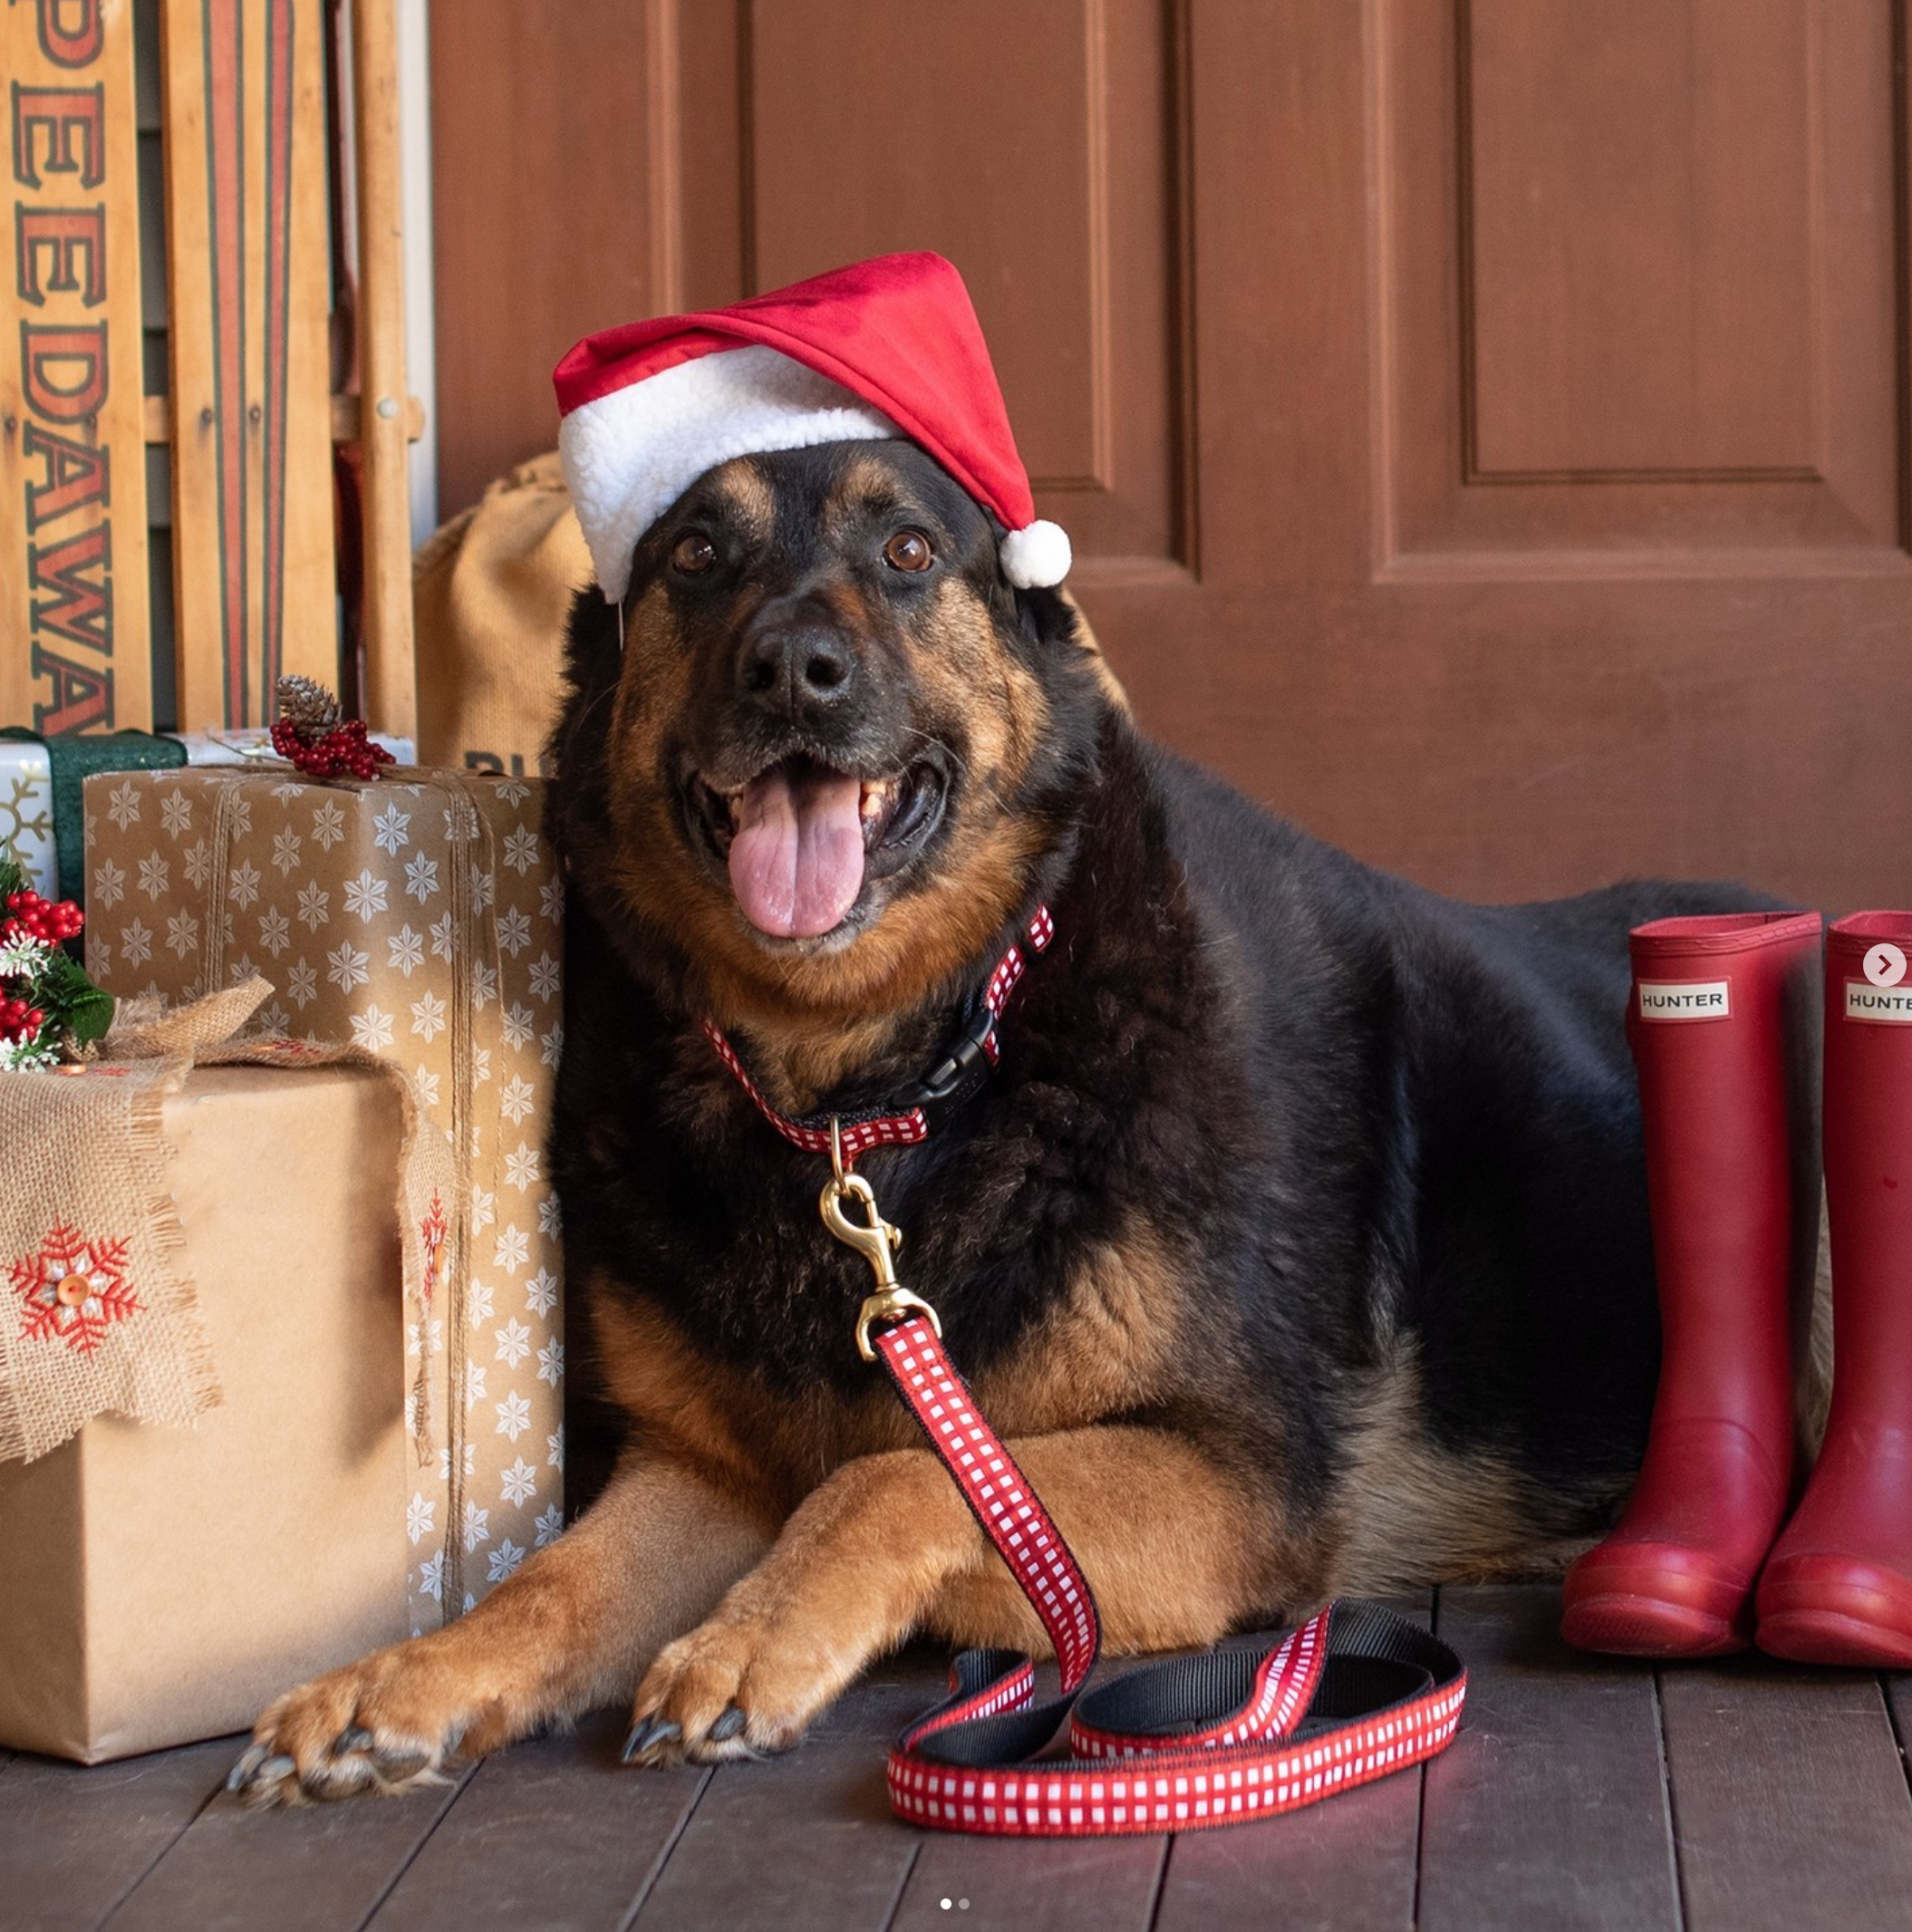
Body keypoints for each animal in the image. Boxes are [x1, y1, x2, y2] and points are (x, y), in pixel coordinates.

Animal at [236, 430, 1784, 1801]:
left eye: (910, 551)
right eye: (693, 555)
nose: (792, 670)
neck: (873, 1097)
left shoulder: (1235, 1481)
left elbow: (884, 1478)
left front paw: (750, 1639)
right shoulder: (704, 1474)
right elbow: (553, 1579)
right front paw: (404, 1679)